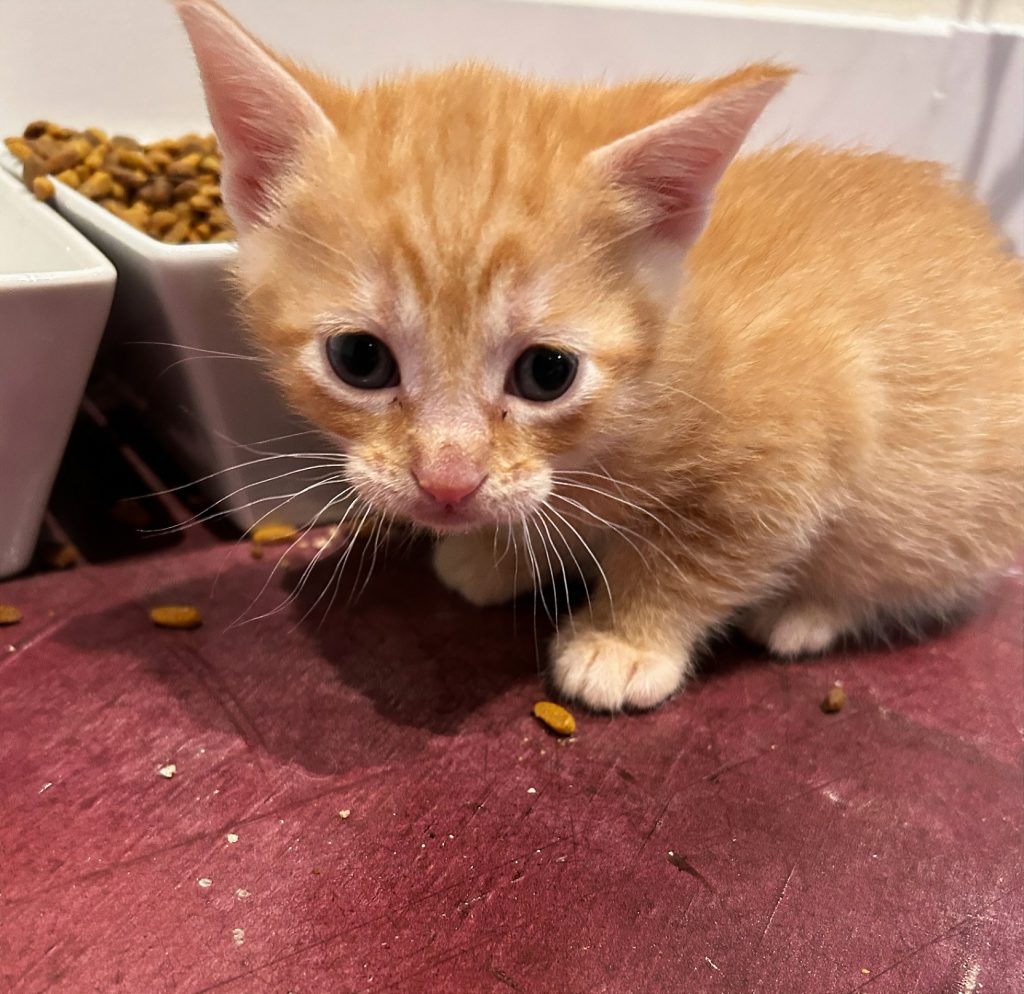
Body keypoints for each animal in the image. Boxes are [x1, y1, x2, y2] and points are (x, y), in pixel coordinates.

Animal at [176, 1, 1024, 716]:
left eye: (547, 373)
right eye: (359, 359)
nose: (446, 484)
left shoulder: (801, 447)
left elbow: (698, 556)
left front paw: (625, 639)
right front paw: (495, 554)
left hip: (940, 503)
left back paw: (809, 611)